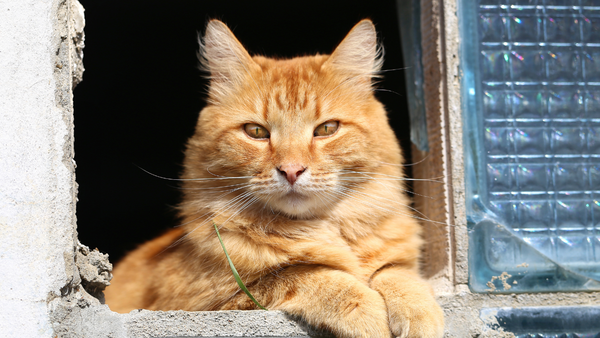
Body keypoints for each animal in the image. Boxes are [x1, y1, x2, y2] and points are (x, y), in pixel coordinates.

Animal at [105, 19, 446, 338]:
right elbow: (308, 274)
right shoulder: (212, 301)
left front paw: (419, 311)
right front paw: (367, 312)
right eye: (256, 132)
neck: (318, 229)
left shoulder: (394, 260)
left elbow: (397, 273)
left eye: (327, 129)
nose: (291, 170)